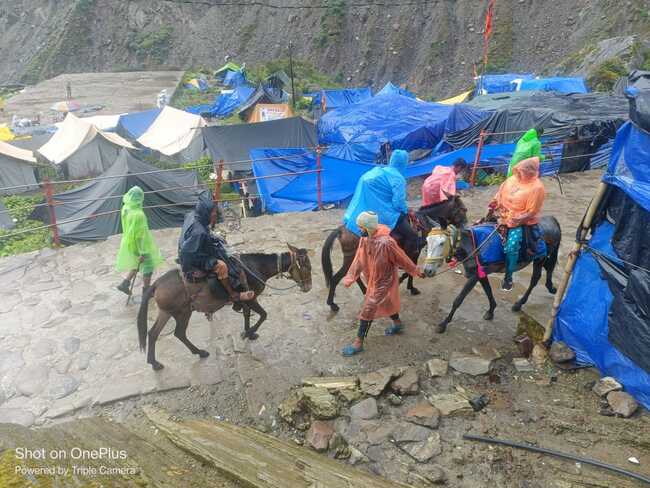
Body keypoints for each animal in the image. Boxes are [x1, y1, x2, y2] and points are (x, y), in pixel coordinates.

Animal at [135, 244, 310, 370]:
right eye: (307, 266)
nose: (308, 287)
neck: (255, 267)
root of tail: (157, 284)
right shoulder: (251, 298)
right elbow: (263, 315)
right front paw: (248, 333)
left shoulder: (246, 301)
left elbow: (247, 314)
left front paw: (248, 333)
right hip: (182, 312)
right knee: (179, 333)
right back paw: (199, 352)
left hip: (167, 312)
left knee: (154, 334)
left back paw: (155, 363)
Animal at [320, 195, 466, 312]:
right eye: (463, 210)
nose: (465, 227)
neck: (423, 222)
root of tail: (341, 229)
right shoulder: (414, 251)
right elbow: (410, 269)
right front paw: (409, 286)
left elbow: (410, 270)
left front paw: (408, 285)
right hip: (350, 257)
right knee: (336, 278)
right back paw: (332, 304)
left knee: (355, 276)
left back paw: (365, 291)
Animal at [422, 216, 560, 334]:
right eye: (427, 241)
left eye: (441, 243)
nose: (427, 270)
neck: (472, 245)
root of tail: (553, 221)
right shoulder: (480, 273)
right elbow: (488, 291)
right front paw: (491, 311)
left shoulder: (474, 276)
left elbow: (458, 300)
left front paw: (443, 324)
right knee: (548, 269)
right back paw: (551, 288)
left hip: (540, 258)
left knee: (535, 279)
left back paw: (519, 304)